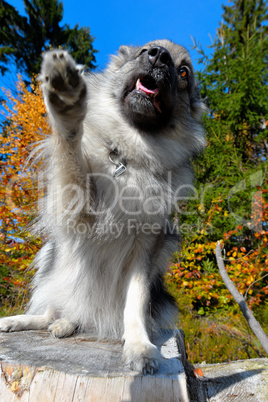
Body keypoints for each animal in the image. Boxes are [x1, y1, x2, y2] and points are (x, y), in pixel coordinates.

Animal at [0, 40, 205, 374]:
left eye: (184, 72)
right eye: (145, 51)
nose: (159, 56)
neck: (130, 154)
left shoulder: (145, 249)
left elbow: (135, 302)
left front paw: (138, 346)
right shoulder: (77, 206)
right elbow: (70, 150)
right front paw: (66, 101)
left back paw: (67, 324)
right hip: (51, 260)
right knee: (50, 309)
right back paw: (24, 321)